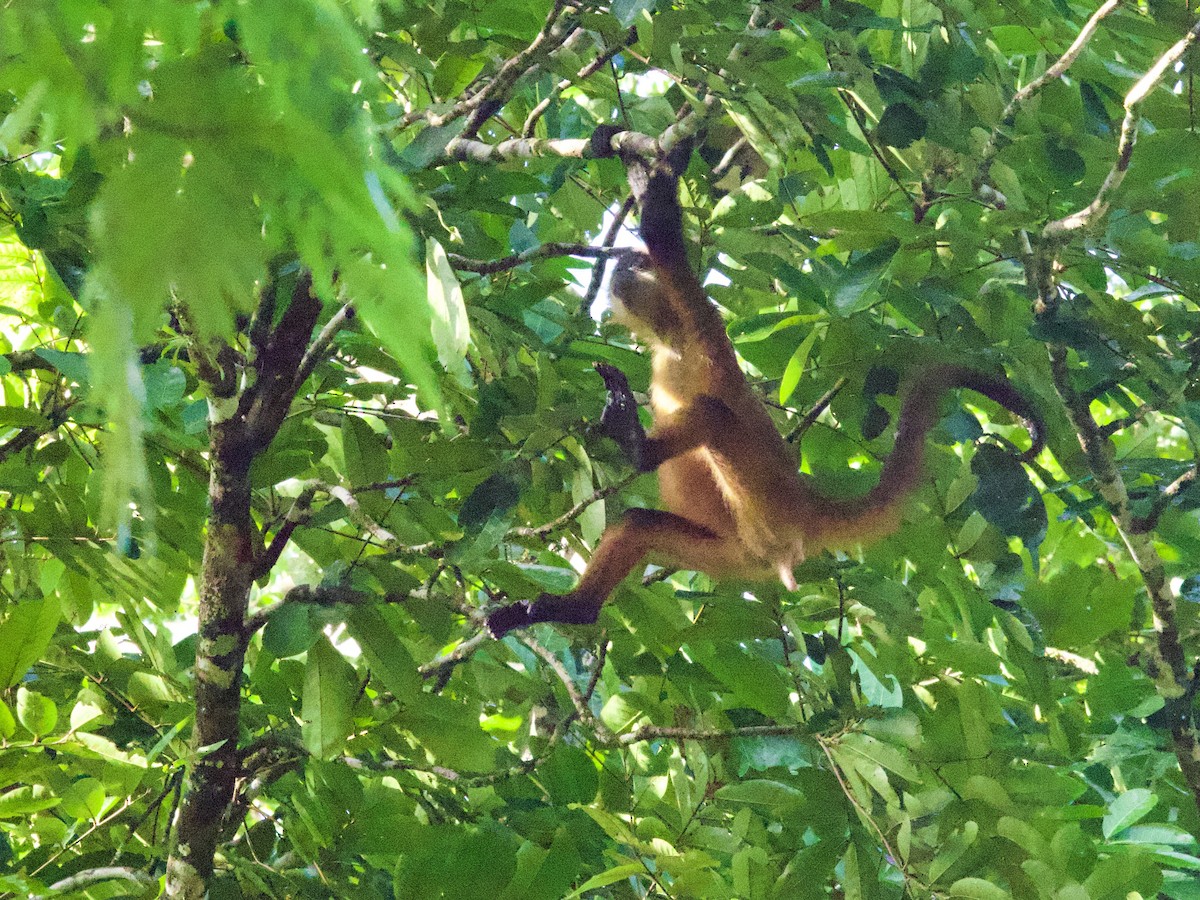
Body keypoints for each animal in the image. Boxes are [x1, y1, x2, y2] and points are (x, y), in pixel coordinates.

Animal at [485, 166, 1043, 639]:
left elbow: (671, 249)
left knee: (712, 414)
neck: (672, 343)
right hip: (735, 553)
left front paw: (653, 186)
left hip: (766, 509)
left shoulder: (704, 322)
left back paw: (637, 446)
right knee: (640, 523)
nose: (620, 264)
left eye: (637, 263)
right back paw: (575, 609)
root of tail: (805, 503)